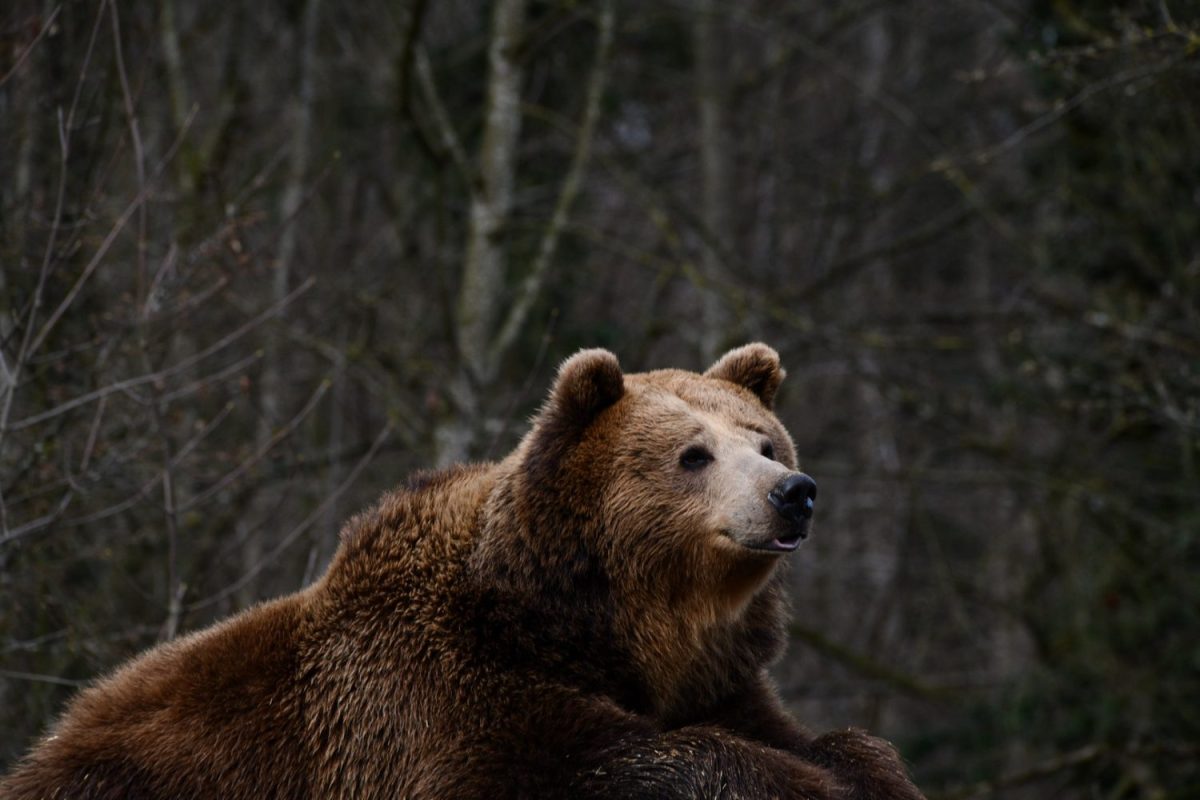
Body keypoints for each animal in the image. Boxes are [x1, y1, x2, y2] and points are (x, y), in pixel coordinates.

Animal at [0, 345, 921, 800]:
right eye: (694, 454)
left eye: (766, 441)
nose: (793, 492)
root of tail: (45, 747)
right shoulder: (434, 698)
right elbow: (599, 762)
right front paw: (796, 784)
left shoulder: (714, 678)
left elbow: (833, 742)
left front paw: (858, 771)